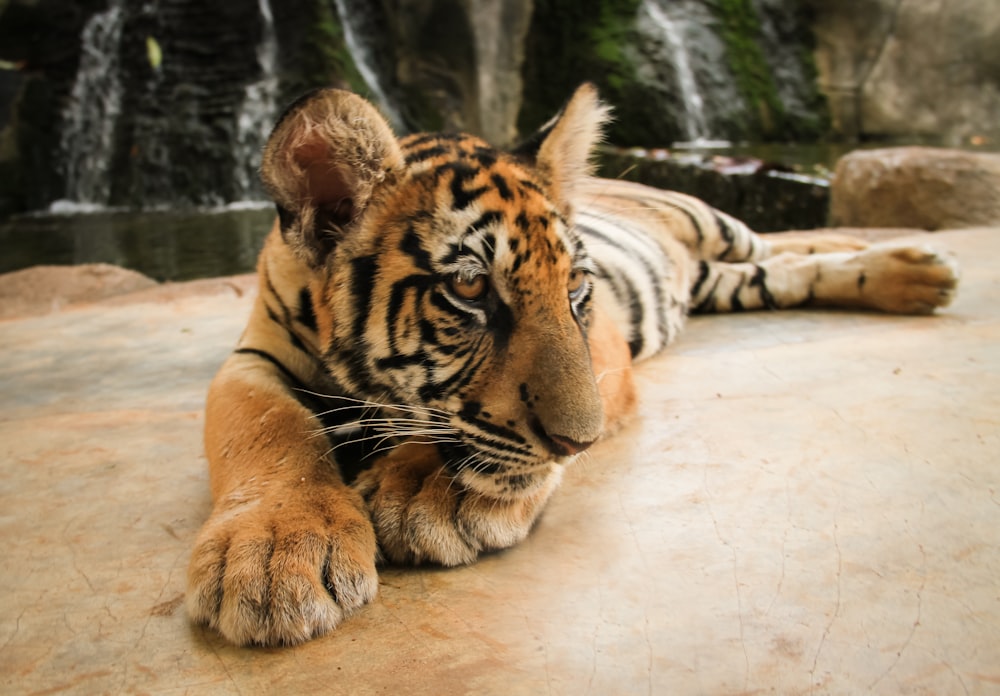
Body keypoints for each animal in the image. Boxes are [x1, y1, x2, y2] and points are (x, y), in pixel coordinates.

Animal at [186, 83, 960, 648]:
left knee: (779, 242)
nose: (576, 445)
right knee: (779, 269)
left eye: (578, 287)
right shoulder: (254, 356)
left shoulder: (606, 347)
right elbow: (268, 429)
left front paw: (429, 492)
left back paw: (912, 262)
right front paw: (276, 553)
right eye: (470, 288)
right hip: (725, 278)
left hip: (713, 220)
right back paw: (911, 274)